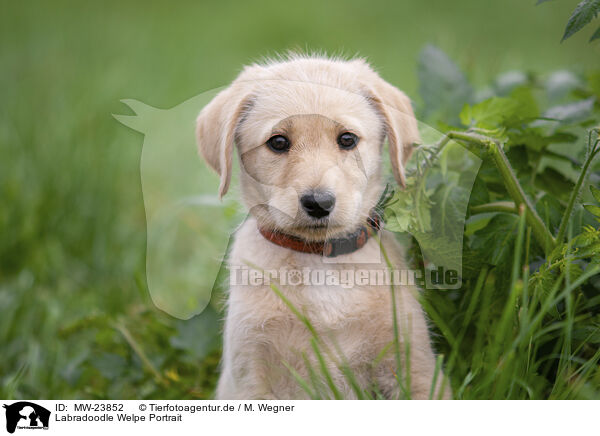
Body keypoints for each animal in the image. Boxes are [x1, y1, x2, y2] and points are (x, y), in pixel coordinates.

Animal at [196, 53, 446, 398]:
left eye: (347, 139)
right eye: (278, 142)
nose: (318, 203)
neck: (318, 261)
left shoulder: (415, 366)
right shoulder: (251, 376)